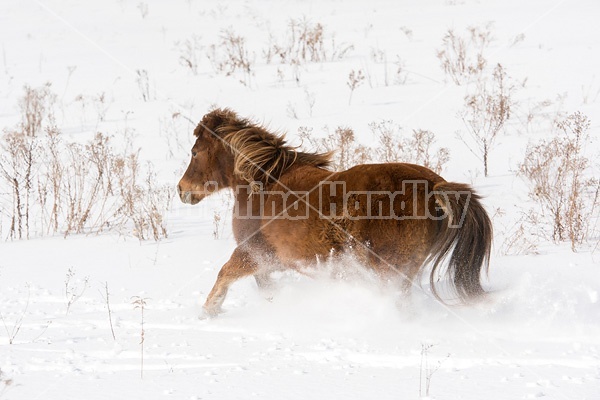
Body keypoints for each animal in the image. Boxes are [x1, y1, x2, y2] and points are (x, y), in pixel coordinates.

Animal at [177, 108, 492, 316]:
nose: (181, 190)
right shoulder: (276, 261)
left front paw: (209, 310)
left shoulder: (255, 251)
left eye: (194, 152)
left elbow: (226, 272)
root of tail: (432, 186)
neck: (264, 183)